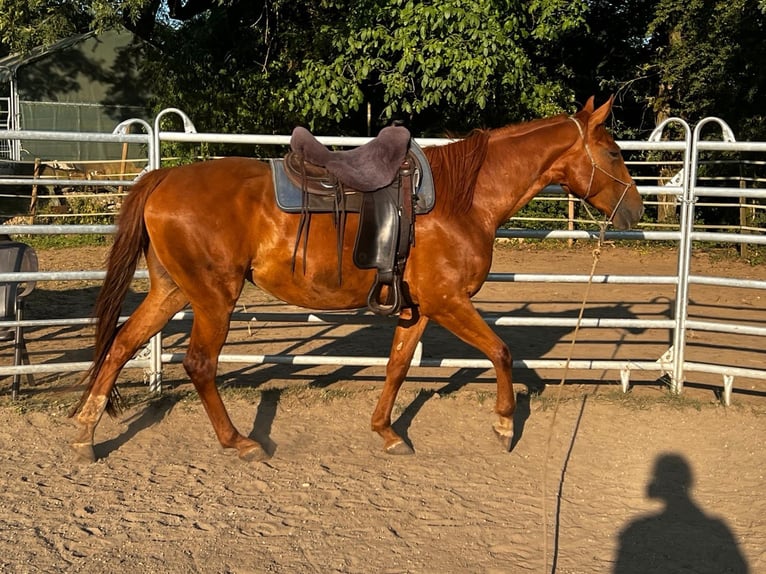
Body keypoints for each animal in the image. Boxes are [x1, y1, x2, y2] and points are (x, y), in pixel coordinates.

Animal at [69, 95, 644, 464]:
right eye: (615, 152)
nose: (636, 211)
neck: (462, 199)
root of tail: (164, 176)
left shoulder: (422, 307)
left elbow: (396, 367)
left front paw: (386, 432)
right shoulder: (450, 301)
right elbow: (501, 352)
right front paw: (504, 424)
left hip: (171, 291)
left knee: (121, 345)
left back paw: (85, 435)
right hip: (214, 297)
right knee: (199, 364)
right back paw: (239, 442)